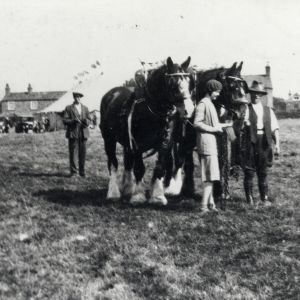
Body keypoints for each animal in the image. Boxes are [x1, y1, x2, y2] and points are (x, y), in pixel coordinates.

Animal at [100, 56, 195, 206]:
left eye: (189, 82)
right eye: (172, 83)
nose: (188, 110)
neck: (150, 110)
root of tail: (111, 94)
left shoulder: (165, 143)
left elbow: (160, 167)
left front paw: (158, 196)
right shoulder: (137, 144)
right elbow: (140, 168)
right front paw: (138, 196)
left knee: (128, 162)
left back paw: (128, 187)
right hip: (108, 139)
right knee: (113, 163)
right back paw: (113, 192)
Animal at [164, 61, 248, 206]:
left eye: (243, 85)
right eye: (231, 86)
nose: (242, 112)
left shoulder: (217, 138)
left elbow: (220, 161)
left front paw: (221, 191)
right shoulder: (189, 142)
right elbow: (186, 161)